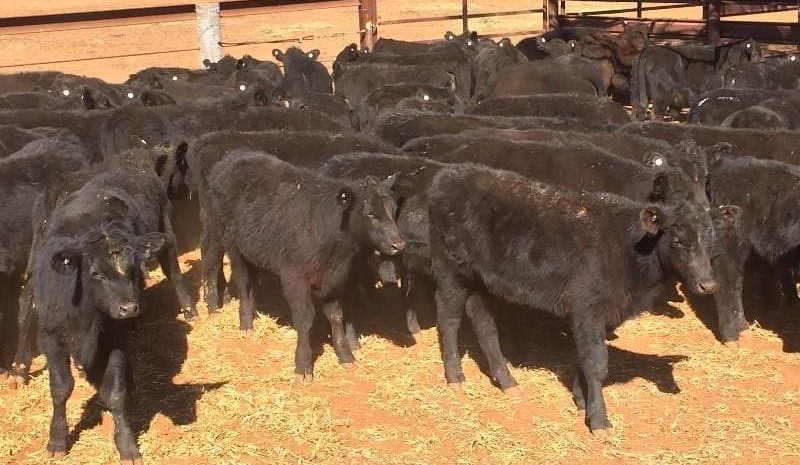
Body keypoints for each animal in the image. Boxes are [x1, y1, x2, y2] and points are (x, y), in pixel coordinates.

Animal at [202, 150, 404, 380]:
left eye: (394, 209)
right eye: (369, 213)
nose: (399, 245)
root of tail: (233, 156)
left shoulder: (332, 279)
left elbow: (336, 315)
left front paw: (345, 355)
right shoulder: (294, 277)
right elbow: (305, 318)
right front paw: (303, 364)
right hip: (228, 240)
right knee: (229, 272)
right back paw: (235, 318)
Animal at [427, 163, 720, 435]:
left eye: (710, 242)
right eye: (678, 241)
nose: (708, 284)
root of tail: (450, 174)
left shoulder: (597, 316)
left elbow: (584, 357)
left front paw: (581, 401)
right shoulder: (587, 308)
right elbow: (597, 364)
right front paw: (599, 420)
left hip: (481, 280)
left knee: (484, 323)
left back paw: (507, 381)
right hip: (451, 270)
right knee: (449, 318)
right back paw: (455, 376)